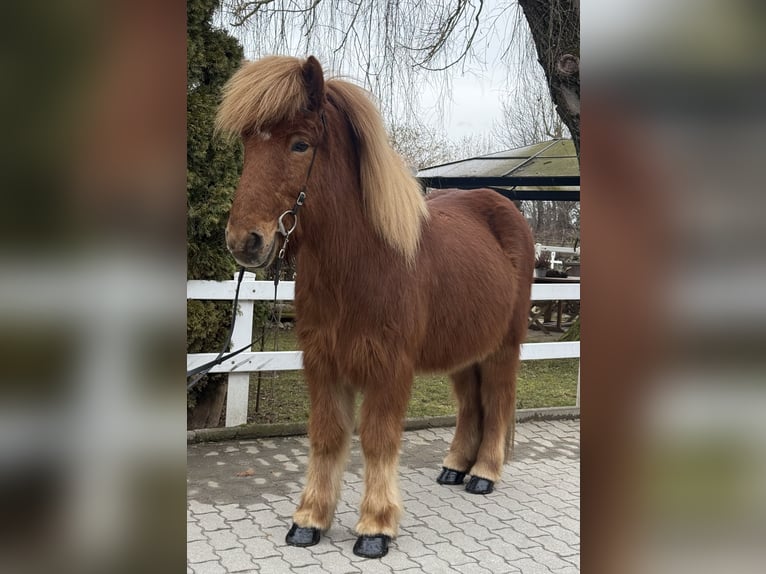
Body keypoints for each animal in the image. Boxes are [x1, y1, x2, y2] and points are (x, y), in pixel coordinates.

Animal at [217, 55, 534, 559]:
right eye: (248, 144)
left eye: (300, 144)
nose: (244, 241)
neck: (364, 262)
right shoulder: (322, 363)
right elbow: (327, 436)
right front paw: (309, 520)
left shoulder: (390, 366)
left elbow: (379, 439)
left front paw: (376, 527)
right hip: (464, 352)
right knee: (471, 405)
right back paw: (454, 467)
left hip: (504, 347)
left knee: (498, 401)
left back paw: (483, 474)